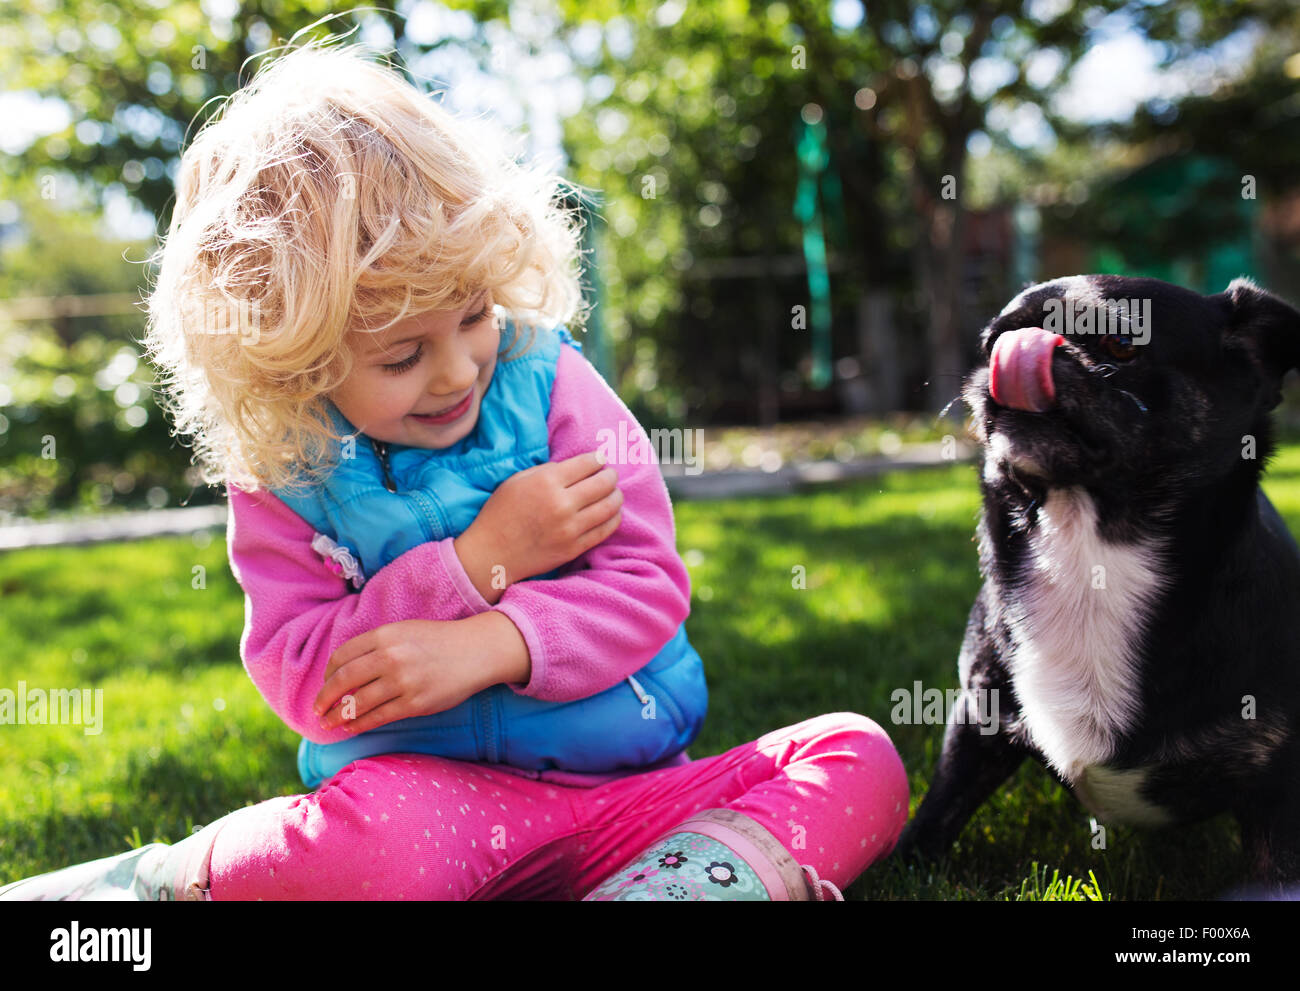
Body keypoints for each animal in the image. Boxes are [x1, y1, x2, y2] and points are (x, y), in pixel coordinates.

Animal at [894, 271, 1300, 889]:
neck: (1091, 556)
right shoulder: (975, 723)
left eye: (1120, 344)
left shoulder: (1276, 792)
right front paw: (896, 867)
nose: (1024, 346)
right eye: (991, 343)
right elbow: (936, 813)